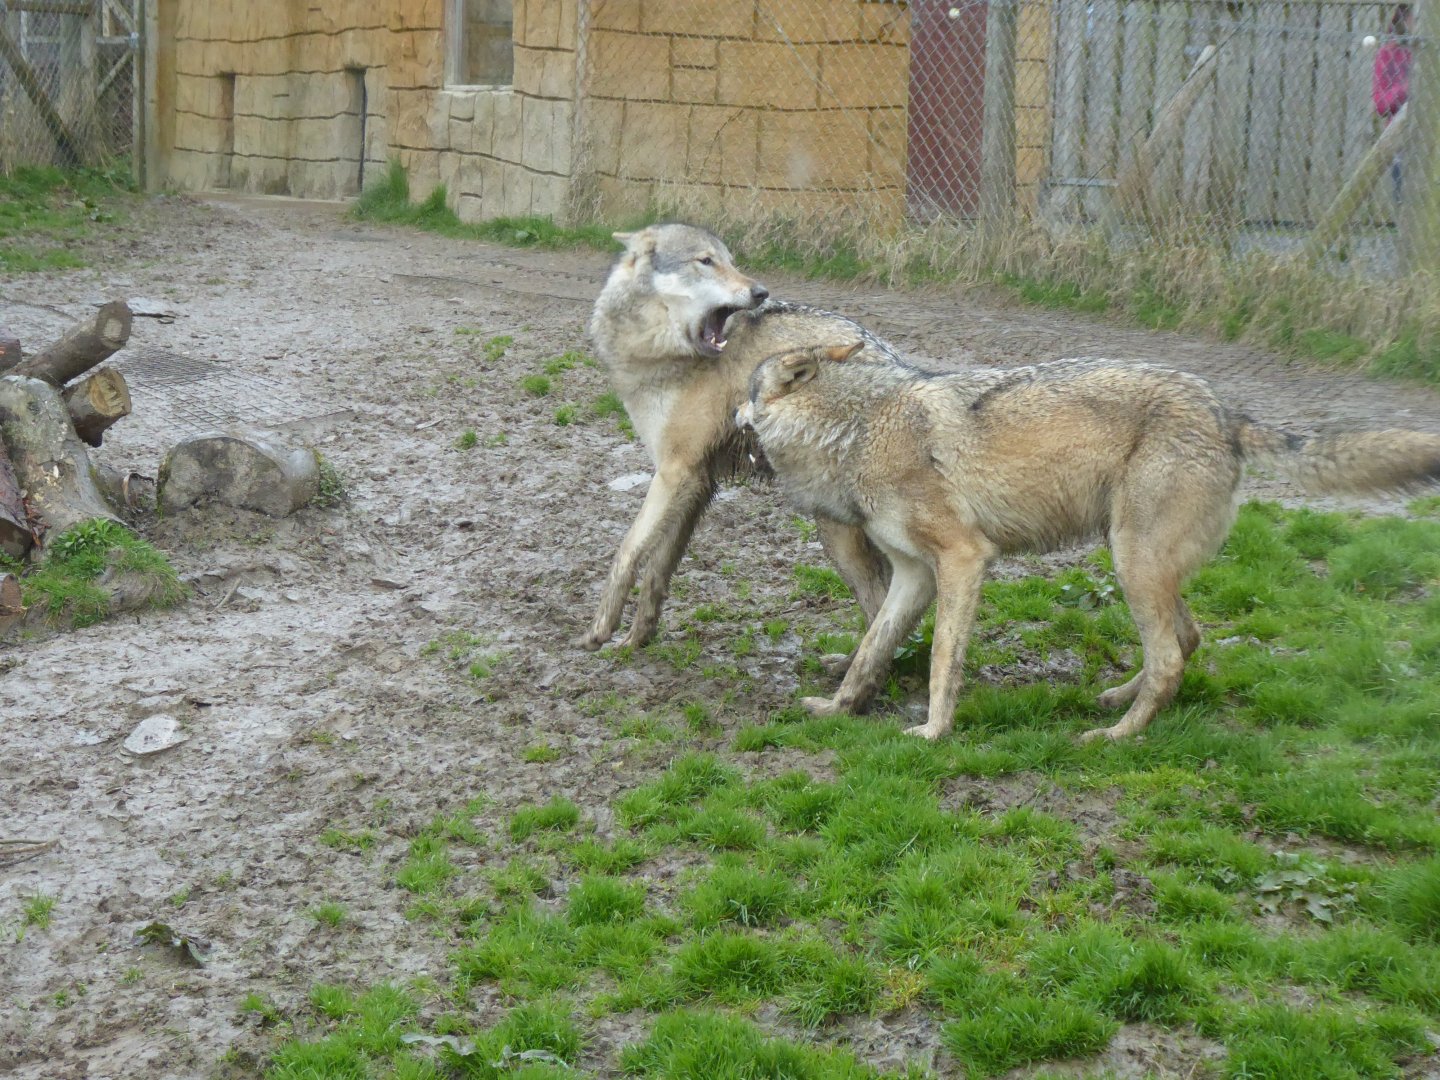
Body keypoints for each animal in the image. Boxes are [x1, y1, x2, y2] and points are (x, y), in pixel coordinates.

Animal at [579, 223, 894, 651]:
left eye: (731, 262)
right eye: (706, 261)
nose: (760, 292)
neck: (660, 352)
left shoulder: (673, 473)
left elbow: (627, 550)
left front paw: (600, 630)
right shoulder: (694, 482)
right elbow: (658, 569)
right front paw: (636, 639)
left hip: (836, 534)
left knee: (880, 607)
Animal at [739, 344, 1440, 742]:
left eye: (741, 391)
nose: (727, 415)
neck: (856, 430)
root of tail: (1225, 412)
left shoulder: (964, 560)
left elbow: (941, 660)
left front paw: (934, 732)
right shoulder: (914, 575)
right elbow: (870, 651)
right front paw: (837, 711)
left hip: (1133, 561)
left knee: (1171, 657)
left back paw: (1116, 736)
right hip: (1135, 559)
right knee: (1187, 640)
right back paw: (1118, 701)